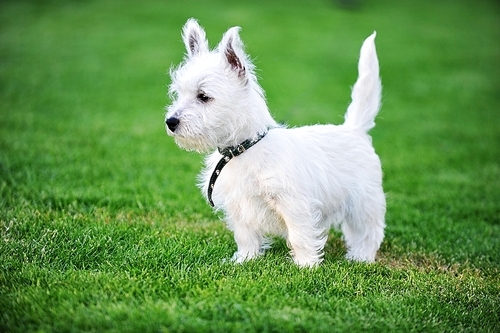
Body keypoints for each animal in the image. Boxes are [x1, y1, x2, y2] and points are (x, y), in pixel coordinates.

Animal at [166, 19, 384, 266]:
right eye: (178, 94)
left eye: (203, 96)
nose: (170, 121)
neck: (243, 148)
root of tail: (354, 129)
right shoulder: (239, 206)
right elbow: (245, 236)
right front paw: (245, 259)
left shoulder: (293, 203)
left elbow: (300, 235)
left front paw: (306, 265)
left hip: (364, 202)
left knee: (369, 231)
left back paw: (361, 257)